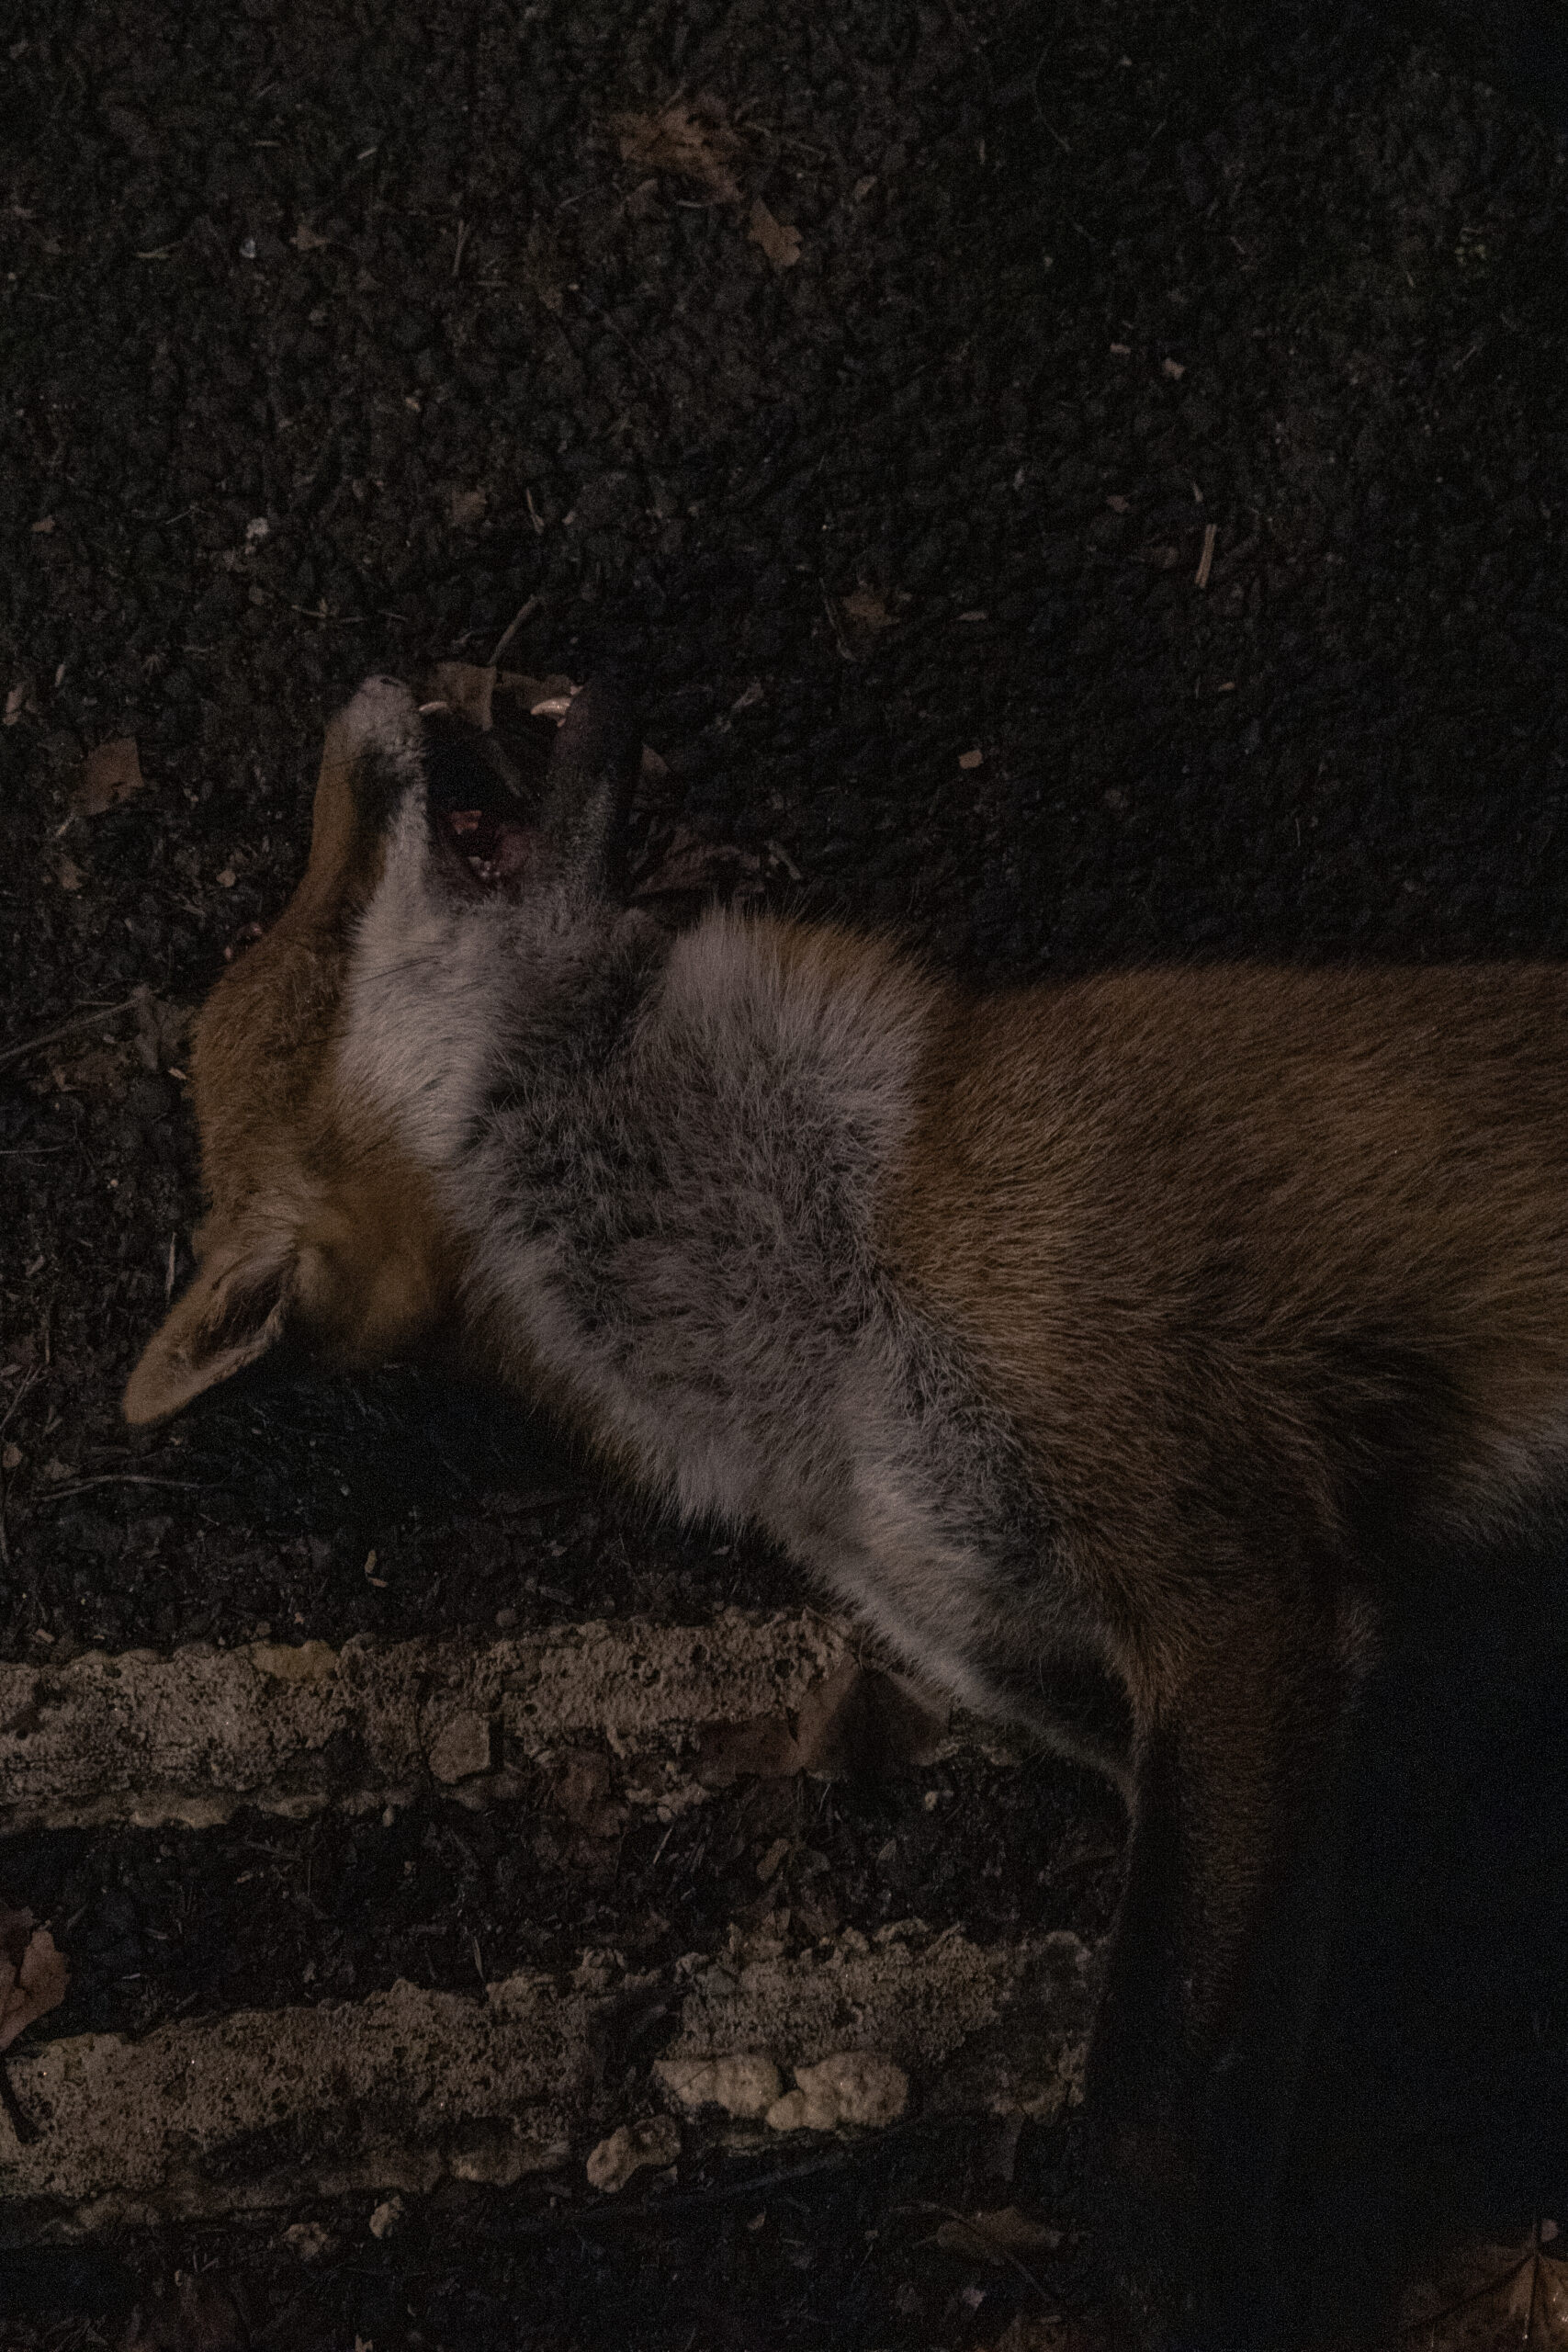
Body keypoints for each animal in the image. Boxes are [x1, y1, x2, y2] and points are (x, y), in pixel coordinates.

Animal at [125, 673, 1568, 2344]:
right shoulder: (1125, 1680)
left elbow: (1134, 2136)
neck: (829, 1315)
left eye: (320, 893)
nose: (363, 693)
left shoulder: (1234, 1595)